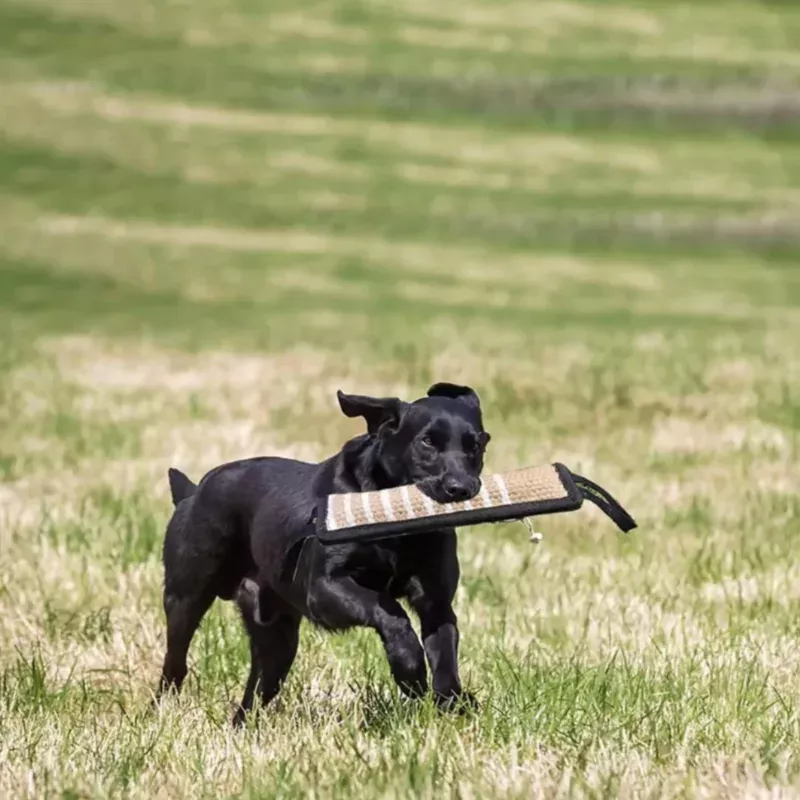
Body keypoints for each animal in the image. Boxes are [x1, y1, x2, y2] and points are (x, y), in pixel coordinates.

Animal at [155, 382, 490, 724]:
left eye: (477, 445)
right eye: (427, 441)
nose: (461, 488)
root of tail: (193, 492)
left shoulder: (436, 601)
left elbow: (445, 652)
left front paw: (453, 701)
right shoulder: (323, 589)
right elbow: (388, 609)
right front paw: (409, 668)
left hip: (277, 639)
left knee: (256, 692)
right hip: (185, 597)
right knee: (175, 664)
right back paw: (162, 710)